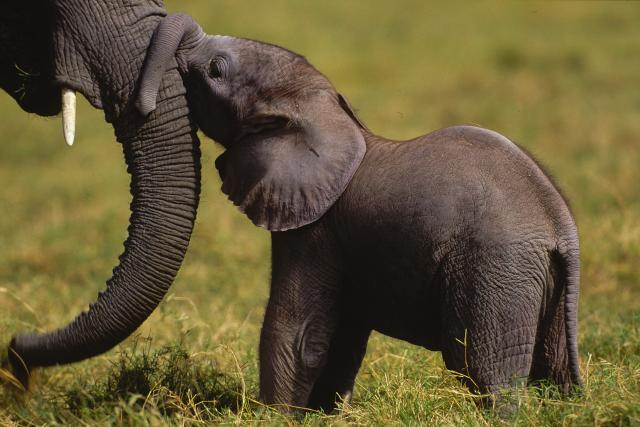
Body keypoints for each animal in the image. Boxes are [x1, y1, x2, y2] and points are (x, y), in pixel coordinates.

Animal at [135, 13, 582, 412]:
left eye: (216, 69)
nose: (143, 103)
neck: (327, 112)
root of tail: (560, 226)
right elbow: (343, 336)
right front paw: (325, 414)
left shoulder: (315, 230)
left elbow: (296, 331)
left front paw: (276, 417)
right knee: (554, 369)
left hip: (496, 269)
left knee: (482, 367)